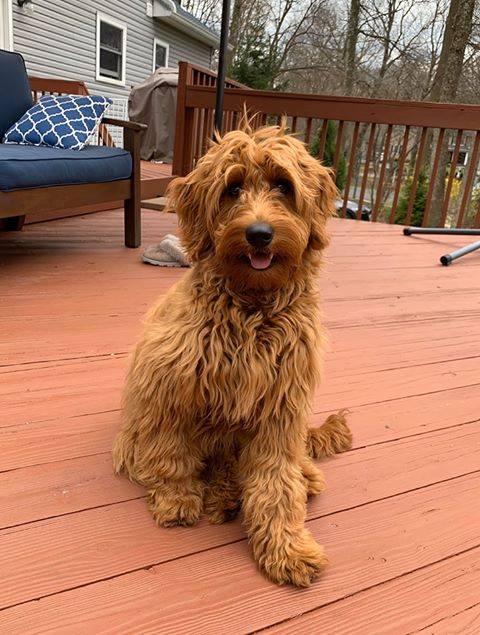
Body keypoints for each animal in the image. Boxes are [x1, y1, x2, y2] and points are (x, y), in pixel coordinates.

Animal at [112, 121, 352, 588]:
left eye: (283, 185)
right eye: (233, 188)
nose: (259, 234)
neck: (252, 310)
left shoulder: (280, 410)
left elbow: (277, 484)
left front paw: (286, 548)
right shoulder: (170, 387)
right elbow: (172, 455)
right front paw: (177, 498)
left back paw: (290, 480)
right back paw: (219, 497)